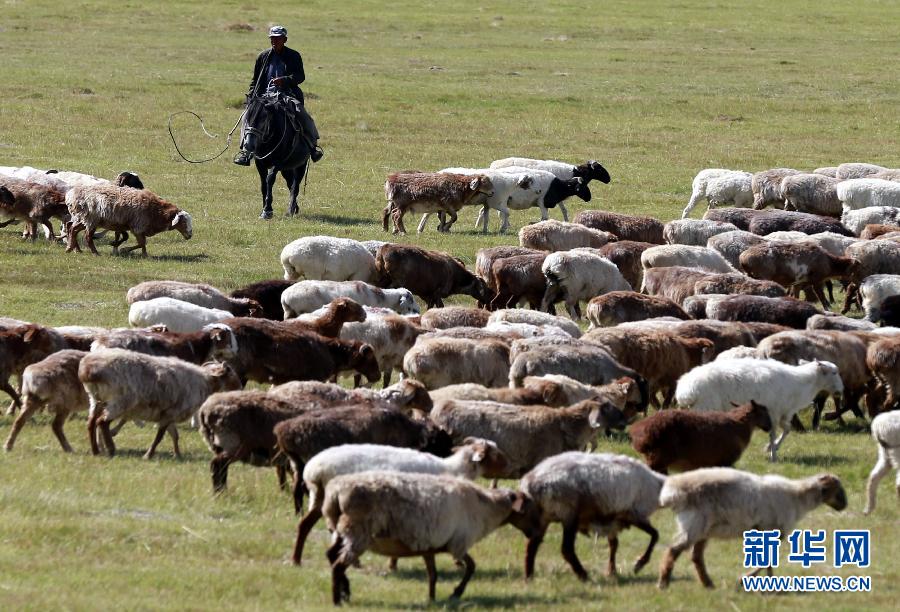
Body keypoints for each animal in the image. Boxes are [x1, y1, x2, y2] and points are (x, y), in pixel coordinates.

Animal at [80, 348, 241, 458]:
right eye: (232, 373)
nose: (241, 388)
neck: (206, 382)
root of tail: (89, 370)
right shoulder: (170, 413)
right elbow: (160, 436)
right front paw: (149, 455)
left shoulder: (169, 414)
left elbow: (174, 435)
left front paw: (177, 454)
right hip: (120, 402)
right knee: (102, 422)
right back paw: (110, 449)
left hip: (96, 399)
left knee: (91, 422)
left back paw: (96, 450)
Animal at [292, 439, 509, 565]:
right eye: (495, 454)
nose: (510, 467)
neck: (453, 469)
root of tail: (313, 469)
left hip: (320, 498)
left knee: (304, 525)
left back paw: (296, 560)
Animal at [323, 472, 536, 604]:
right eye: (529, 508)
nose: (534, 533)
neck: (487, 508)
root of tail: (335, 492)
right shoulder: (458, 543)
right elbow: (471, 567)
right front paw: (455, 593)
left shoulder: (430, 545)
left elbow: (433, 575)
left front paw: (432, 599)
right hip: (358, 532)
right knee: (338, 565)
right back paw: (336, 600)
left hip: (341, 530)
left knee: (331, 556)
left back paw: (345, 592)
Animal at [657, 468, 847, 588]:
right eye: (838, 491)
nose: (844, 506)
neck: (798, 497)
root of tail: (673, 493)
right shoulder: (771, 529)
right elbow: (767, 560)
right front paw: (747, 580)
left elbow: (767, 560)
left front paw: (768, 584)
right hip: (695, 524)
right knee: (673, 550)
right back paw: (663, 583)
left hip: (703, 528)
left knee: (696, 556)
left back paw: (708, 584)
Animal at [675, 359, 844, 461]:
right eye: (834, 372)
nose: (841, 390)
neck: (801, 383)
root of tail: (686, 390)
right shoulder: (773, 412)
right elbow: (774, 433)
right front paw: (773, 455)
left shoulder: (783, 413)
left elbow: (787, 430)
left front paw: (771, 448)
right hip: (705, 407)